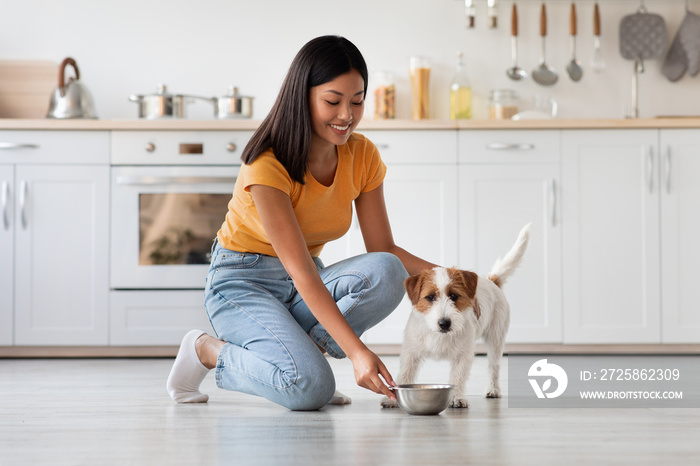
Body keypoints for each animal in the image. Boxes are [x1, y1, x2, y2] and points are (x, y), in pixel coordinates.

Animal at [382, 222, 532, 408]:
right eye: (430, 297)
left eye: (454, 296)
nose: (444, 323)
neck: (438, 335)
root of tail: (491, 281)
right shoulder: (411, 353)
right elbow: (405, 373)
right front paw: (392, 398)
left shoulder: (464, 355)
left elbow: (458, 377)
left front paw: (456, 398)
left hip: (496, 339)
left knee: (494, 366)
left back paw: (493, 389)